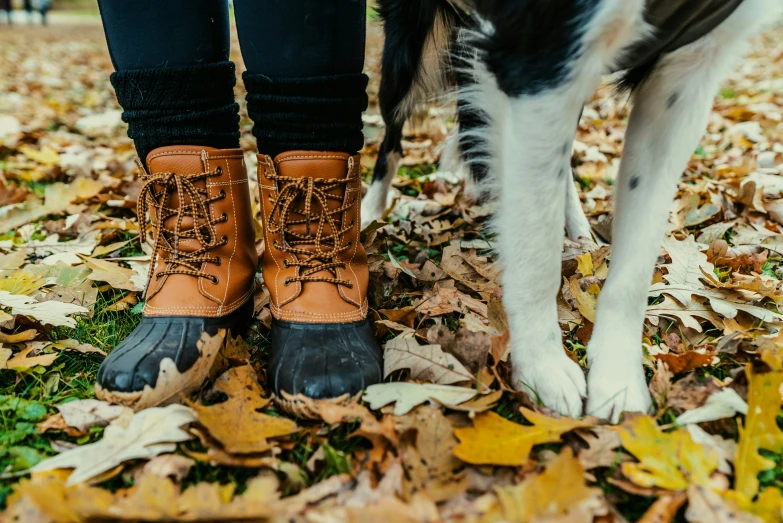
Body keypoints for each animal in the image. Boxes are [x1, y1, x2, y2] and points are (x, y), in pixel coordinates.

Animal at [364, 0, 780, 422]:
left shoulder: (684, 74)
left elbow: (634, 268)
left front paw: (618, 382)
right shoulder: (541, 60)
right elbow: (536, 254)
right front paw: (543, 369)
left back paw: (579, 230)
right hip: (407, 56)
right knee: (392, 135)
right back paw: (367, 214)